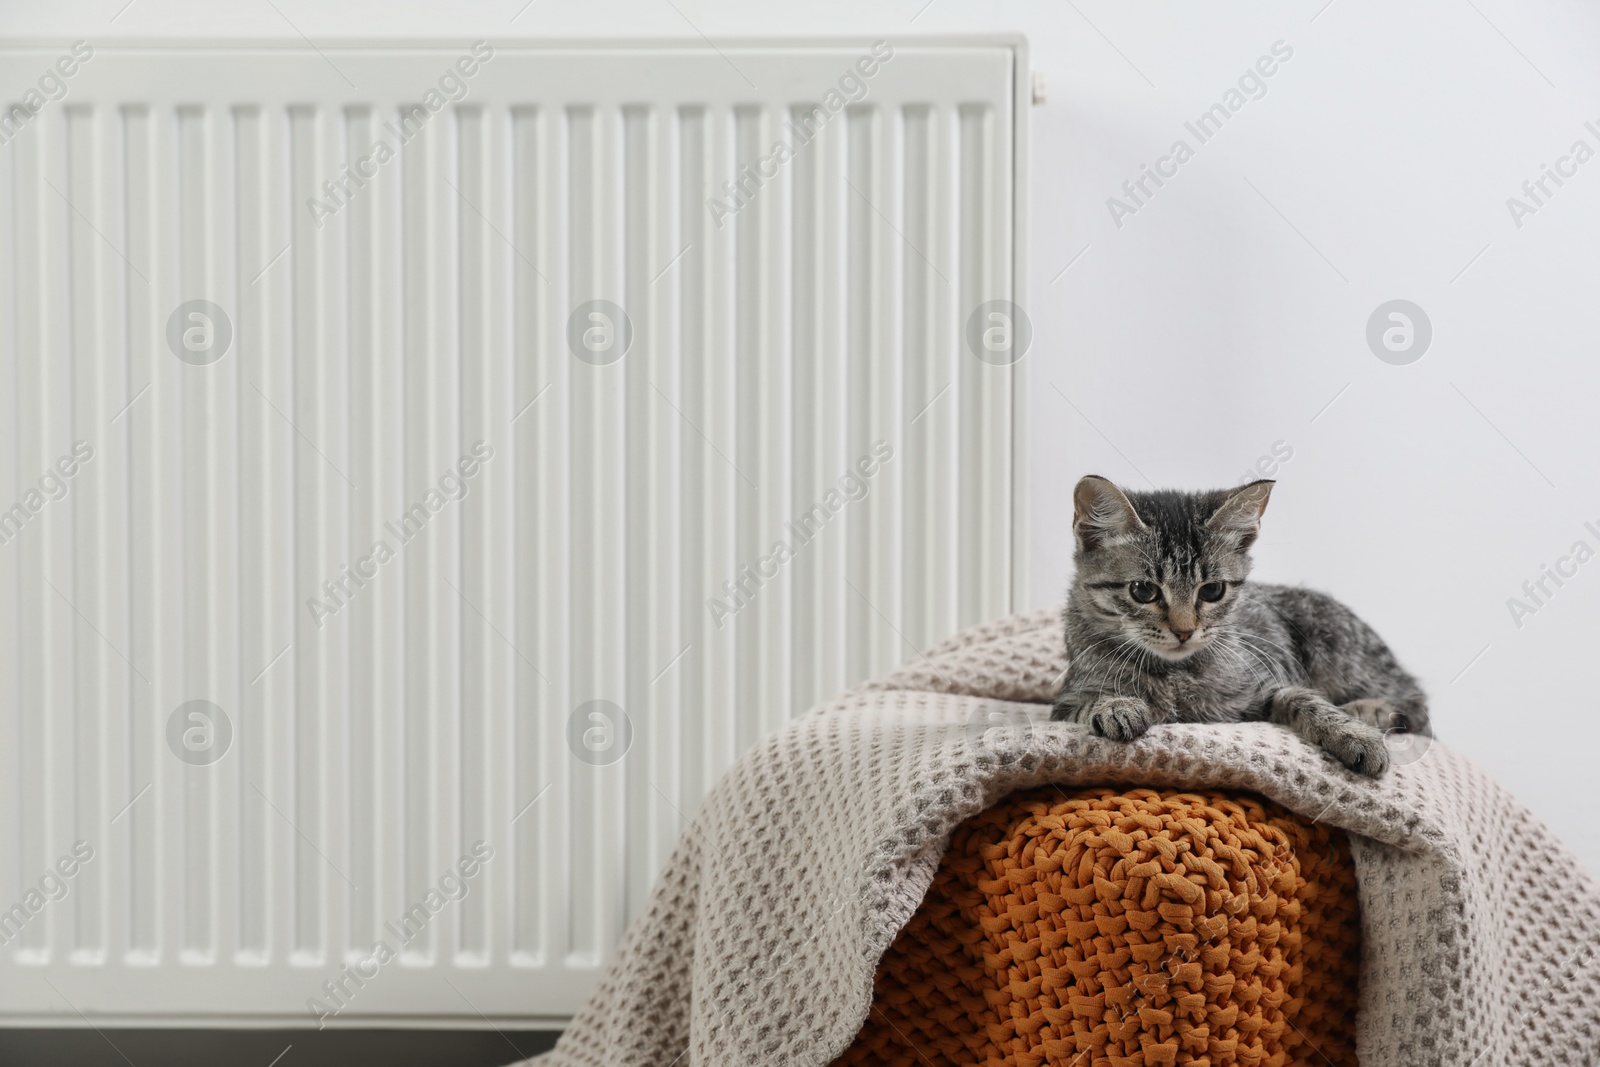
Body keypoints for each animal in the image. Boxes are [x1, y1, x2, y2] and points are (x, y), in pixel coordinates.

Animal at [1049, 476, 1427, 777]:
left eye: (1212, 590)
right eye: (1143, 591)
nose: (1184, 631)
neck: (1176, 673)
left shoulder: (1268, 682)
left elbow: (1303, 698)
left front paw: (1354, 735)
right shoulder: (1066, 702)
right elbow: (1087, 705)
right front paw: (1116, 707)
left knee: (1416, 701)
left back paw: (1370, 709)